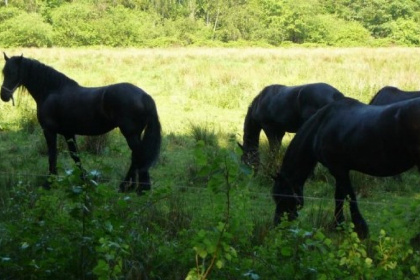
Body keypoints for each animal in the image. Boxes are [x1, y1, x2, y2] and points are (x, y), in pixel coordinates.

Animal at [0, 54, 162, 195]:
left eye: (13, 72)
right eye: (4, 72)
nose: (4, 96)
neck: (52, 91)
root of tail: (144, 96)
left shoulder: (49, 131)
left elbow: (52, 155)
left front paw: (50, 182)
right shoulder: (68, 133)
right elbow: (75, 156)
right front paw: (84, 180)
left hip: (130, 134)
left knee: (139, 156)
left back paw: (137, 188)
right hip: (134, 135)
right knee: (137, 157)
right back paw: (131, 187)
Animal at [272, 96, 420, 238]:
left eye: (280, 197)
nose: (277, 225)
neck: (320, 127)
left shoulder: (338, 170)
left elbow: (349, 196)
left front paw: (361, 229)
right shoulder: (339, 170)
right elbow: (339, 196)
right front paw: (339, 225)